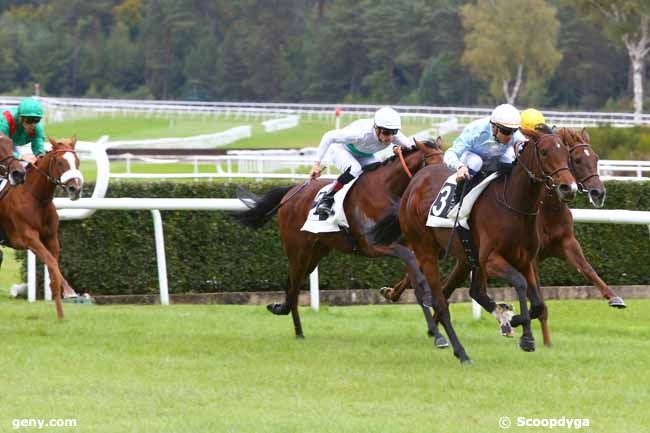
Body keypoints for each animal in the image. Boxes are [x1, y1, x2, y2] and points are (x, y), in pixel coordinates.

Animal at [0, 137, 83, 318]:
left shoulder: (51, 238)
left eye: (77, 161)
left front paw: (61, 315)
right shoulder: (28, 238)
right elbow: (51, 263)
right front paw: (70, 291)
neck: (36, 198)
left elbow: (53, 266)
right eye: (60, 162)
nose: (75, 189)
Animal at [232, 138, 440, 338]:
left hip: (316, 252)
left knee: (293, 284)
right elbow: (409, 259)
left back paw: (283, 310)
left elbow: (414, 268)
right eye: (432, 165)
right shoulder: (374, 245)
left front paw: (394, 294)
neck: (386, 189)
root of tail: (291, 191)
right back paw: (298, 331)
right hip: (298, 251)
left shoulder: (407, 242)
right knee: (294, 286)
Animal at [382, 126, 620, 346]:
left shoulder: (558, 245)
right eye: (575, 159)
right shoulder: (496, 259)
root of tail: (418, 179)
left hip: (465, 254)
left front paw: (614, 298)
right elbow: (530, 293)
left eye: (595, 158)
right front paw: (529, 332)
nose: (597, 192)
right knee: (432, 278)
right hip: (430, 245)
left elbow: (582, 270)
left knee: (464, 290)